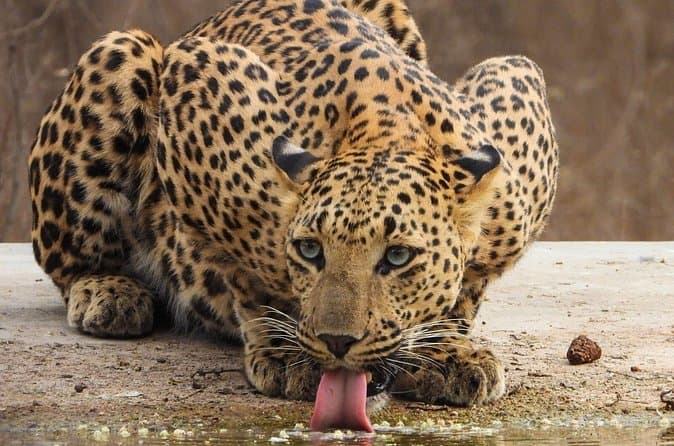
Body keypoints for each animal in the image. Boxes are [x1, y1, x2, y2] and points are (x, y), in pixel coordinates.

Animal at [28, 0, 558, 415]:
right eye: (309, 251)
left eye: (397, 257)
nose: (338, 342)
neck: (385, 130)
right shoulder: (195, 70)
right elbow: (243, 254)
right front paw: (288, 353)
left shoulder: (517, 89)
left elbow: (468, 285)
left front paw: (446, 351)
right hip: (125, 52)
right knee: (70, 258)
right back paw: (108, 292)